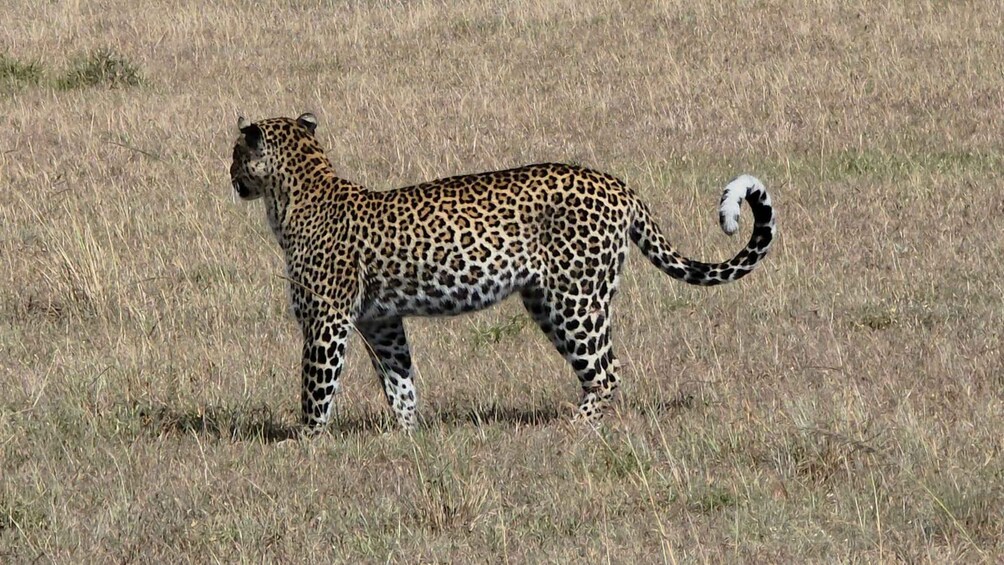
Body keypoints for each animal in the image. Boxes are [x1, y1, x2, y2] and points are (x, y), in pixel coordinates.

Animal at [229, 113, 776, 434]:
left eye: (235, 153)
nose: (229, 177)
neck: (292, 197)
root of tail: (618, 184)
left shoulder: (325, 320)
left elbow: (315, 387)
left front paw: (304, 445)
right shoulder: (380, 322)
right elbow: (400, 382)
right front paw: (407, 436)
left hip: (575, 298)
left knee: (607, 370)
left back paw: (574, 430)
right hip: (548, 300)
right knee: (599, 368)